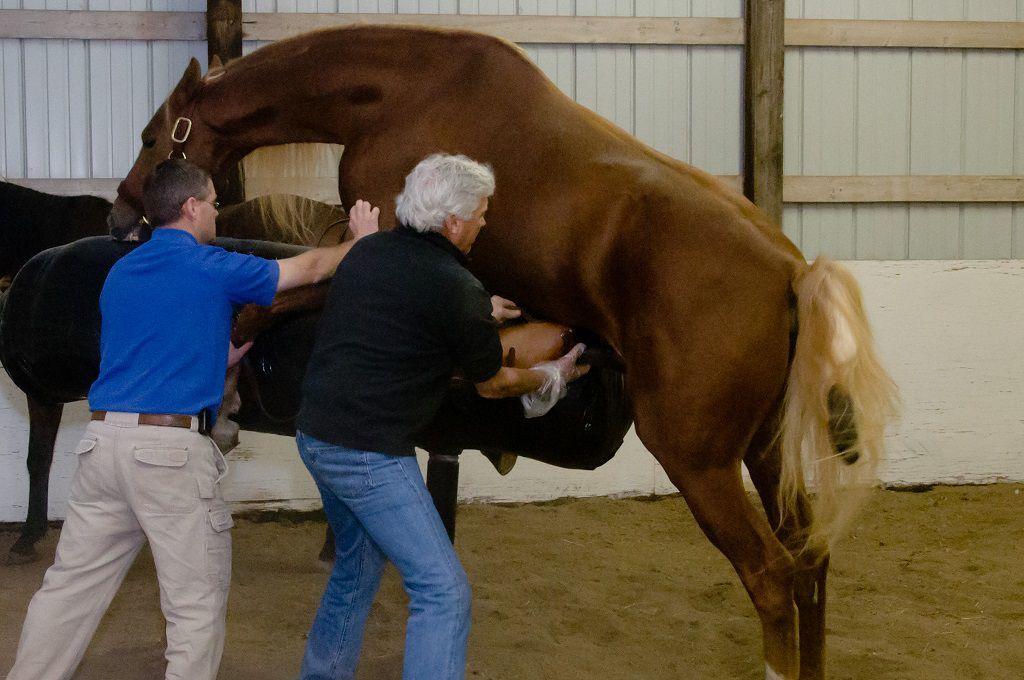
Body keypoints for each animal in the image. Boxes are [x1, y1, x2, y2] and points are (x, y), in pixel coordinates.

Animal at [105, 25, 897, 679]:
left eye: (150, 135)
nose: (119, 214)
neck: (401, 93)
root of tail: (790, 270)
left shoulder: (366, 253)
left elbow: (256, 309)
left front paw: (229, 397)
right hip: (763, 452)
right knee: (811, 561)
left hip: (698, 460)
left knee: (771, 576)